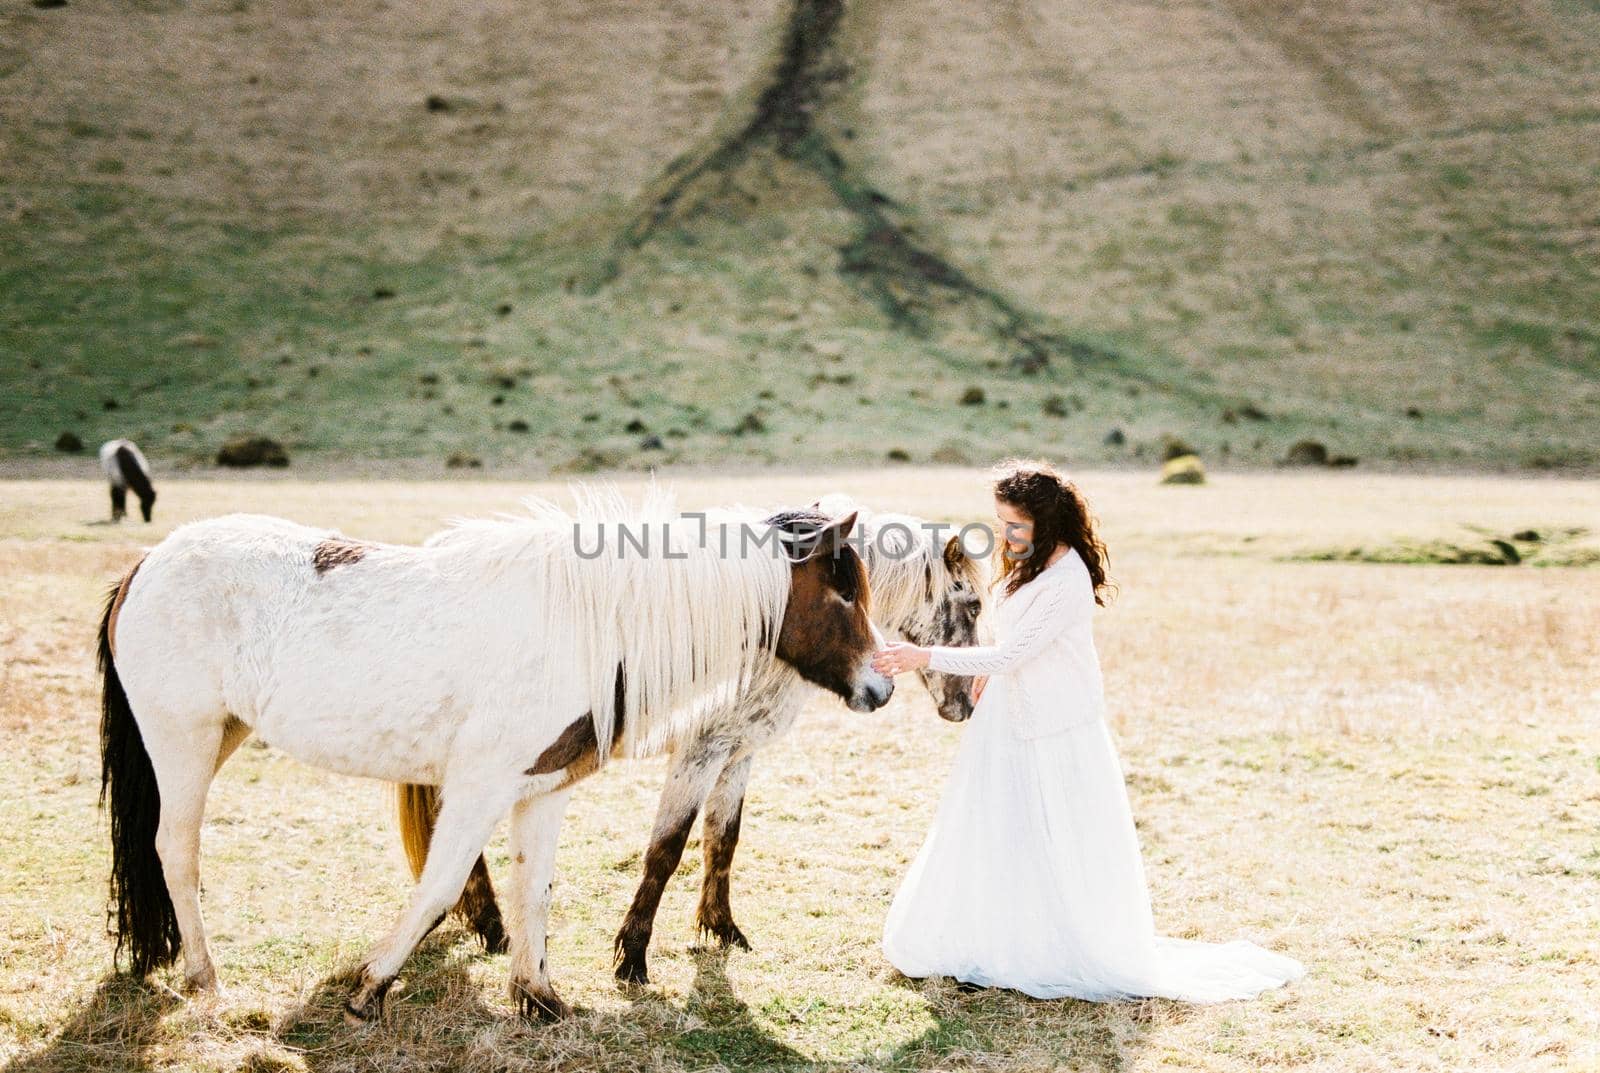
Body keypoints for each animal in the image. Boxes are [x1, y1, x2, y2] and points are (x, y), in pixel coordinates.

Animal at [93, 486, 896, 1023]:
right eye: (843, 593)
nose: (881, 686)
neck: (589, 622)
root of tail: (148, 562)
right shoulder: (479, 786)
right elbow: (441, 885)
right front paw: (370, 988)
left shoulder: (541, 788)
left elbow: (533, 888)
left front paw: (537, 995)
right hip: (184, 740)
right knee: (176, 850)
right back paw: (205, 977)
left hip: (223, 734)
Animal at [400, 495, 992, 985]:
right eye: (974, 605)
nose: (965, 705)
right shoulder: (699, 754)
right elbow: (667, 849)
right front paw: (633, 957)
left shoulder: (739, 753)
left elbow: (722, 839)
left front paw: (721, 928)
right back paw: (490, 925)